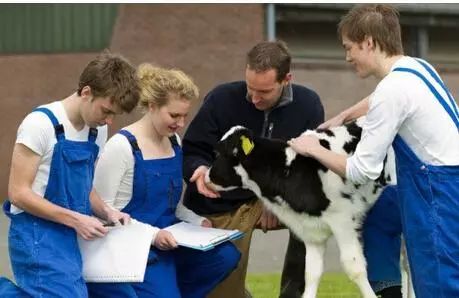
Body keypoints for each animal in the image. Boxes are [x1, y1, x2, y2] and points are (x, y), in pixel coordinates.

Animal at [207, 117, 398, 298]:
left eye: (220, 153)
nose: (207, 178)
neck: (289, 169)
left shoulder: (343, 220)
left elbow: (354, 267)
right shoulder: (311, 229)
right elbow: (312, 272)